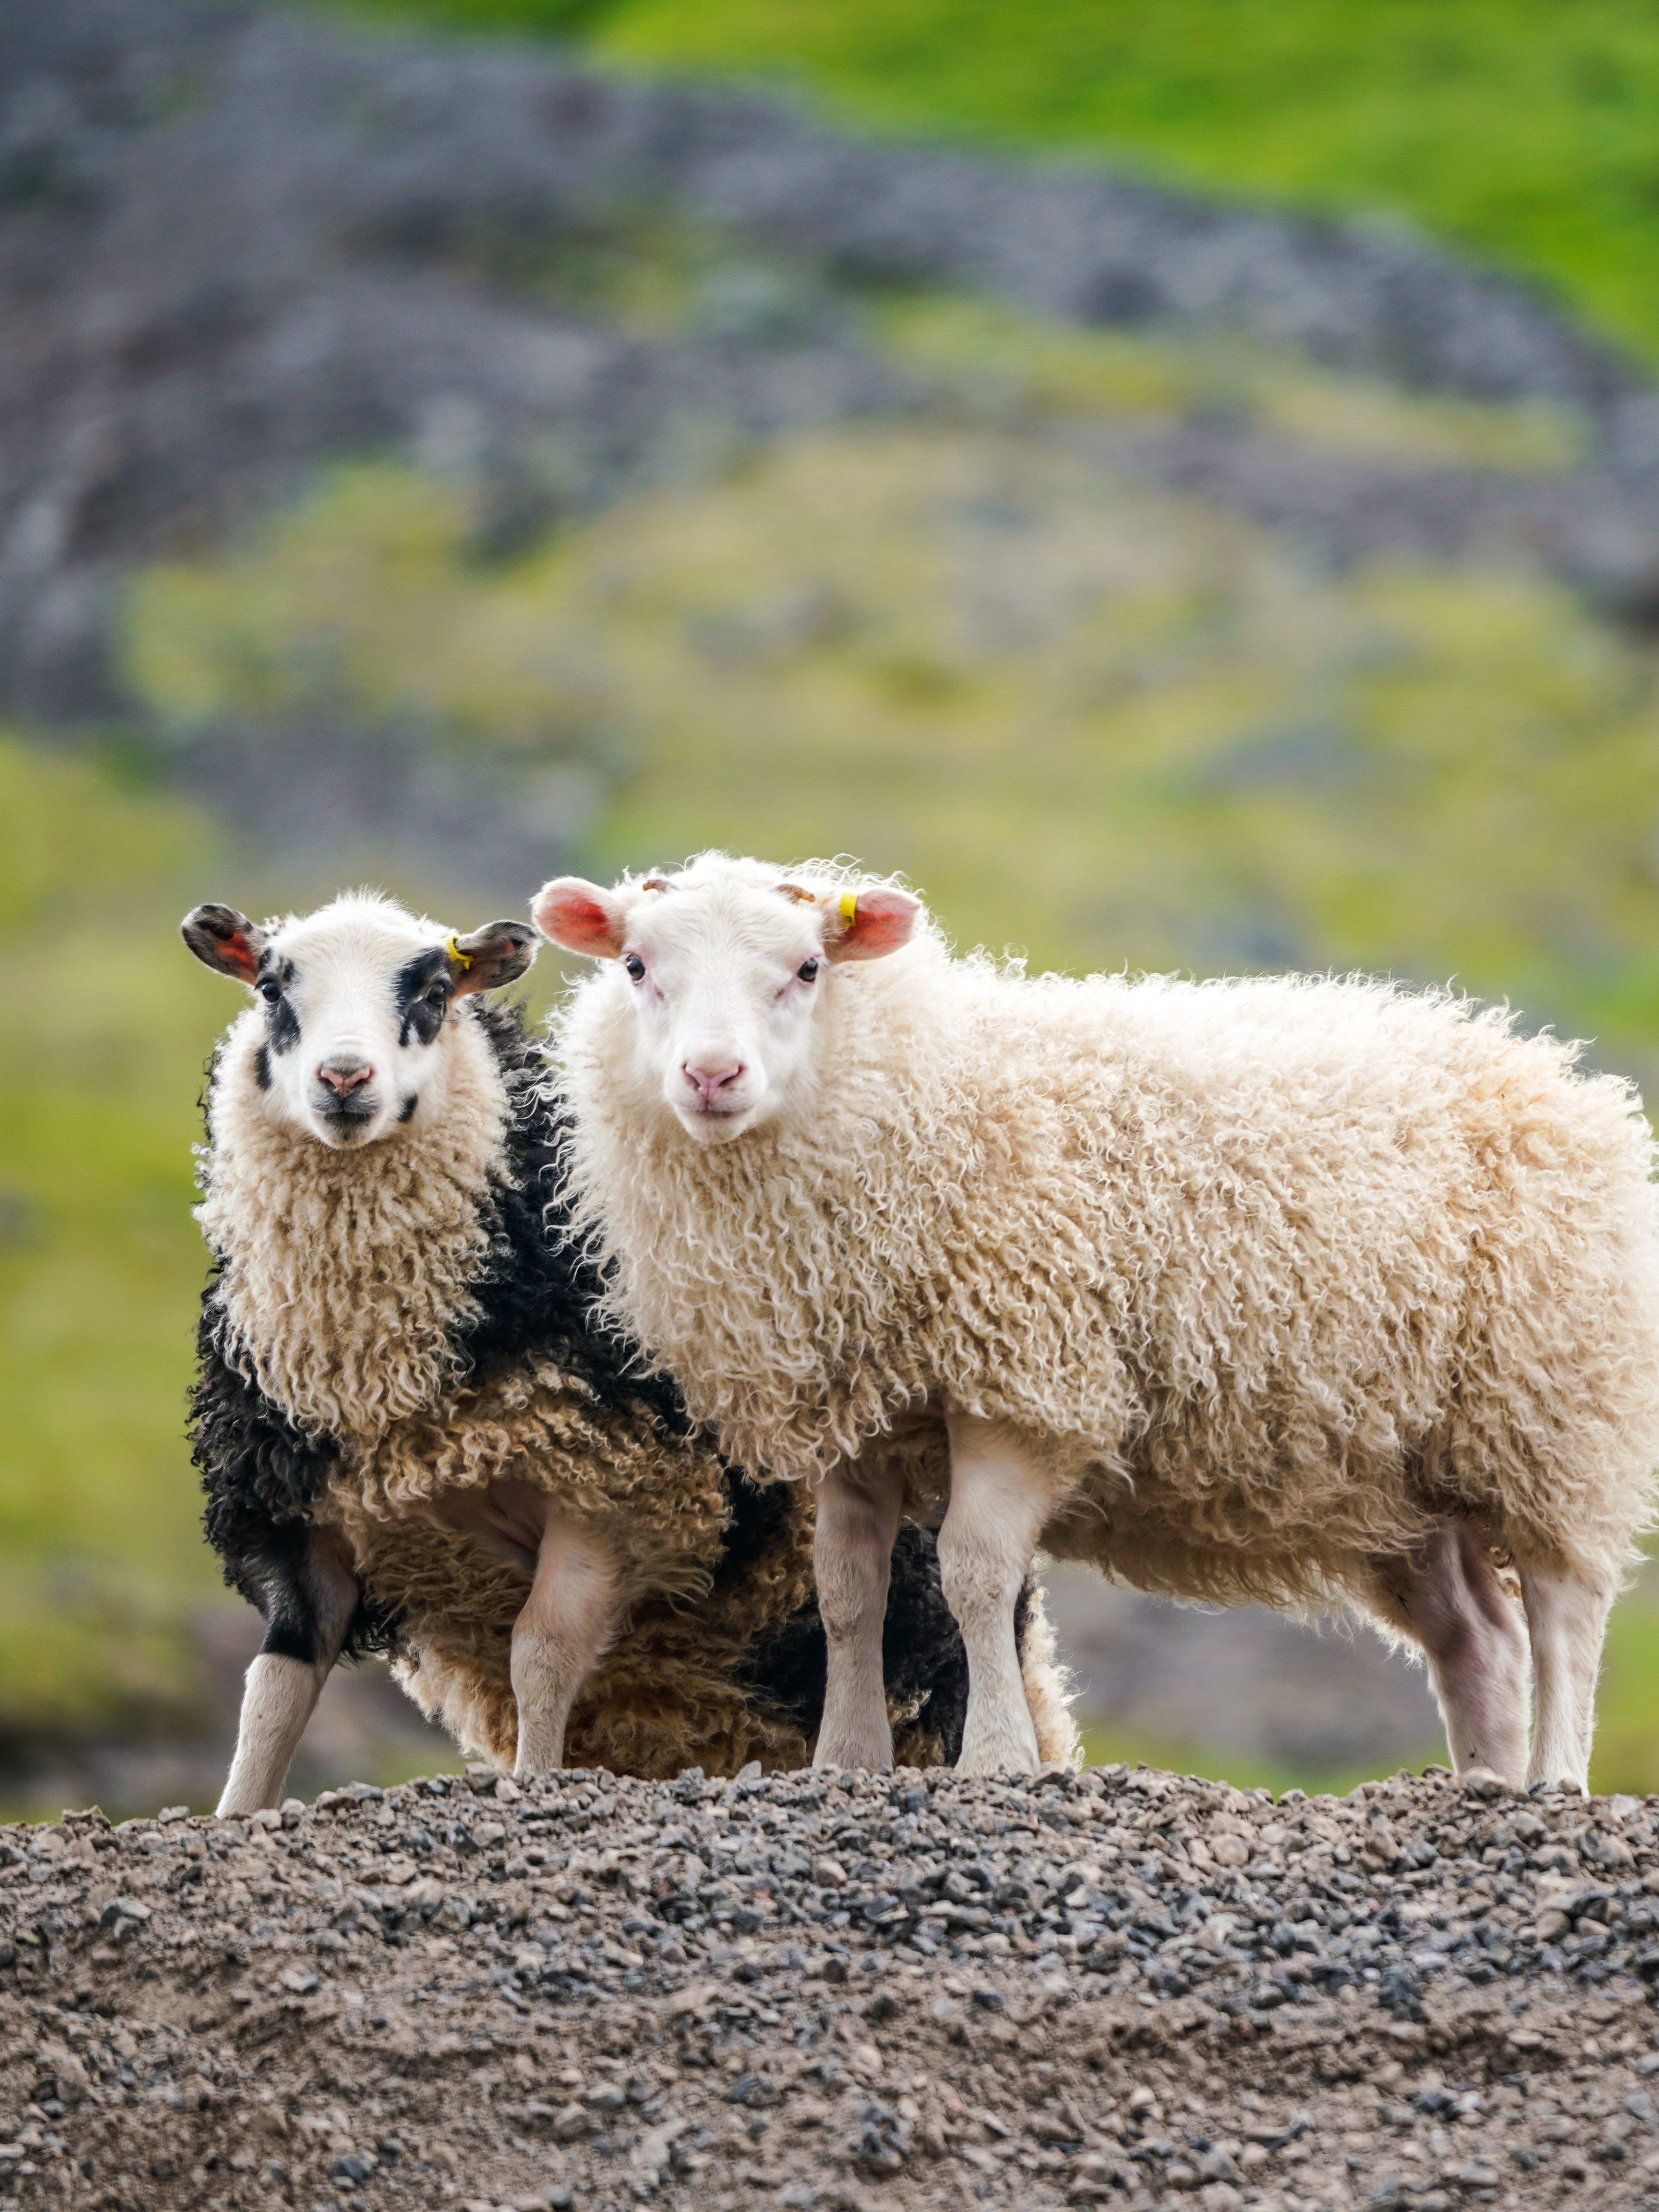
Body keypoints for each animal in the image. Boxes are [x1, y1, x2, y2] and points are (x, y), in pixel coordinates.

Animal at [181, 889, 1066, 1805]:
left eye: (432, 991)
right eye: (272, 990)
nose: (345, 1080)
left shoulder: (616, 1492)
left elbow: (541, 1656)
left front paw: (532, 1784)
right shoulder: (294, 1508)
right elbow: (274, 1688)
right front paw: (239, 1812)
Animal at [540, 854, 1659, 1787]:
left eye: (808, 968)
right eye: (636, 966)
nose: (710, 1076)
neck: (916, 1095)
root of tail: (1568, 1082)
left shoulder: (1024, 1385)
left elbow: (976, 1574)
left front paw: (997, 1758)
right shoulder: (858, 1414)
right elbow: (848, 1591)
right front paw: (845, 1763)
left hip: (1551, 1412)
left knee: (1563, 1609)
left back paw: (1555, 1779)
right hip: (1408, 1478)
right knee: (1479, 1638)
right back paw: (1484, 1780)